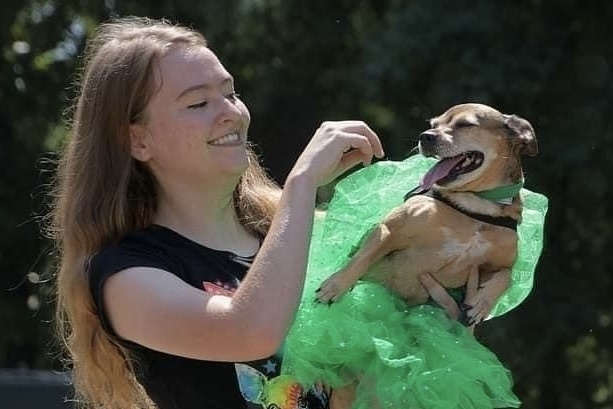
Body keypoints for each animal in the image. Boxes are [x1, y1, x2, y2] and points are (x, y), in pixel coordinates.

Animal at [316, 103, 536, 404]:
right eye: (433, 124)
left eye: (465, 124)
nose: (425, 137)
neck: (476, 206)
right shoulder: (387, 230)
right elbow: (361, 258)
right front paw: (335, 286)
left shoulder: (501, 263)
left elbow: (505, 277)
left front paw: (481, 304)